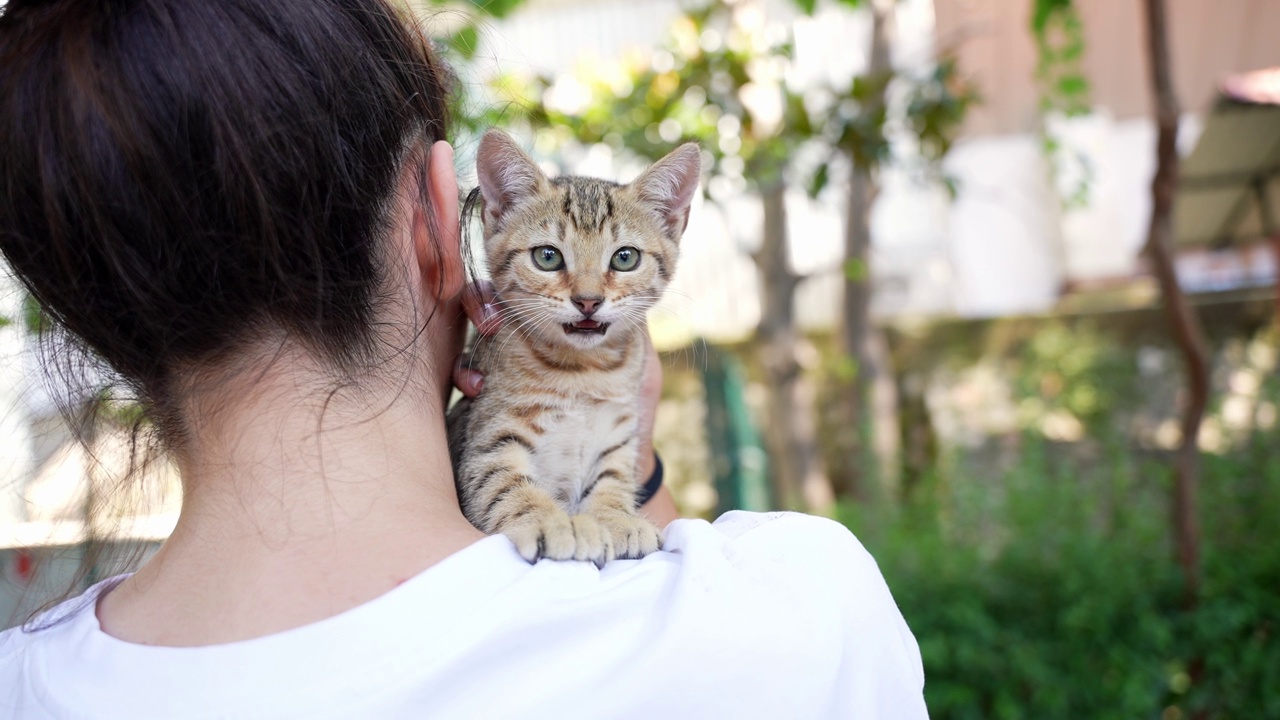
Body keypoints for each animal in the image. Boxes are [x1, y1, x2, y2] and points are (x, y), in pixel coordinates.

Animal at [445, 130, 696, 566]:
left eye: (625, 257)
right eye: (547, 257)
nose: (588, 301)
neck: (583, 371)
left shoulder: (618, 435)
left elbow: (613, 479)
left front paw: (615, 518)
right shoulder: (491, 437)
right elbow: (504, 483)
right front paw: (550, 521)